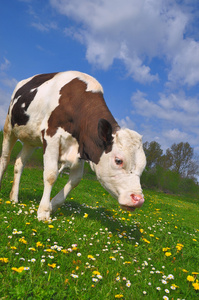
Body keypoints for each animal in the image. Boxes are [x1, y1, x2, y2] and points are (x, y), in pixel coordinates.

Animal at [0, 70, 146, 220]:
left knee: (19, 163)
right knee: (5, 159)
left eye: (144, 166)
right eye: (118, 160)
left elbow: (75, 180)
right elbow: (51, 174)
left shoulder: (81, 148)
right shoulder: (51, 136)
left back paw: (14, 198)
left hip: (31, 141)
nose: (138, 199)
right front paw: (44, 211)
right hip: (9, 127)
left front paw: (52, 205)